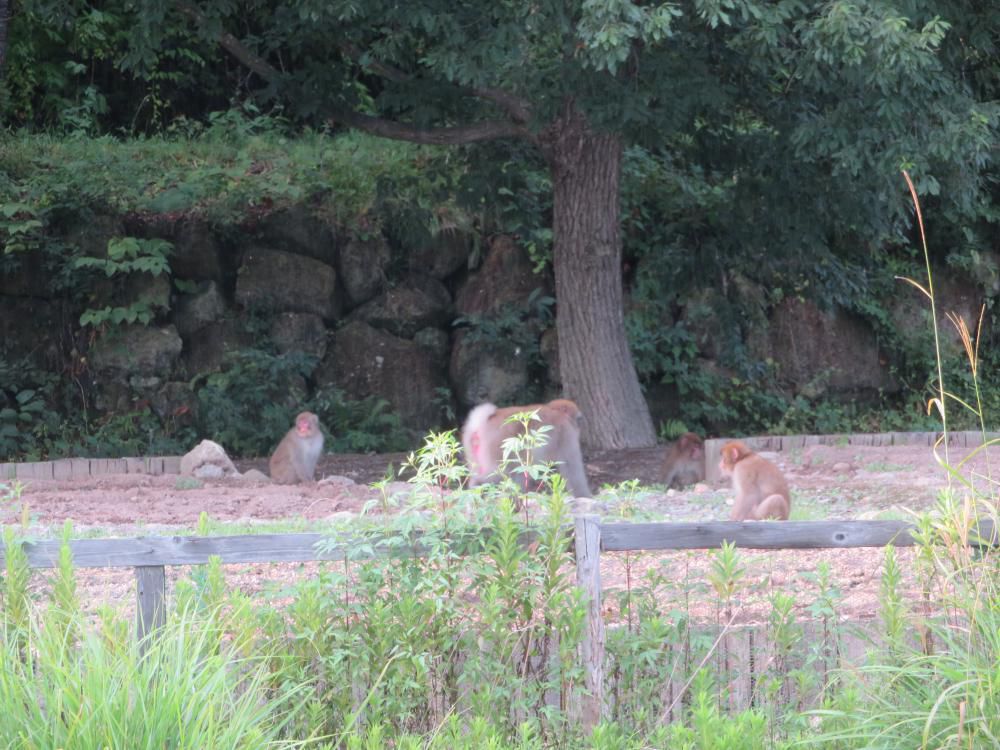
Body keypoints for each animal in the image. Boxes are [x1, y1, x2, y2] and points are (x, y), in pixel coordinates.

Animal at [462, 400, 592, 500]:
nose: (580, 422)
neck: (557, 411)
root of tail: (480, 424)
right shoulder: (566, 433)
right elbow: (572, 468)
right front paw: (584, 496)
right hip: (499, 448)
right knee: (498, 473)